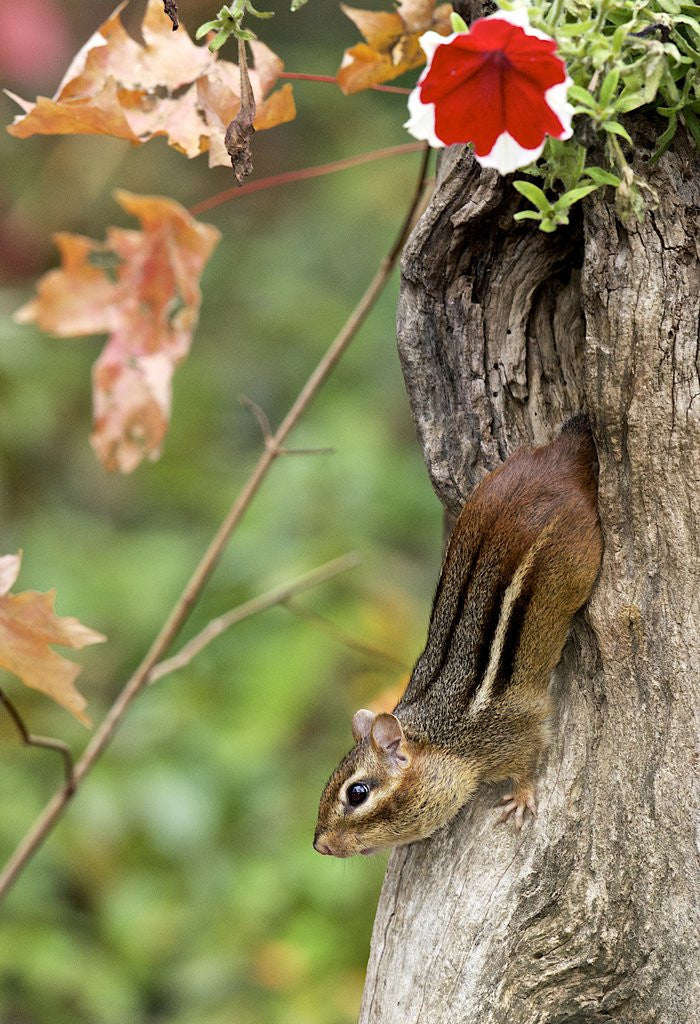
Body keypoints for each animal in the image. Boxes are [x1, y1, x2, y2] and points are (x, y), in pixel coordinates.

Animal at [313, 416, 603, 858]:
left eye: (357, 793)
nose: (320, 846)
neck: (439, 738)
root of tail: (558, 457)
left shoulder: (513, 735)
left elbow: (530, 758)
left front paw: (521, 798)